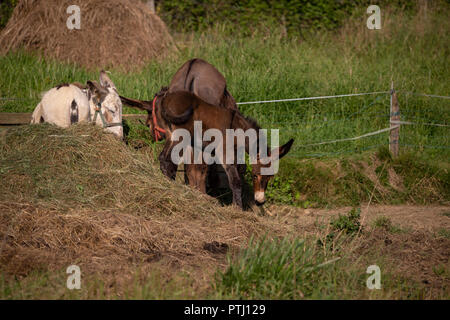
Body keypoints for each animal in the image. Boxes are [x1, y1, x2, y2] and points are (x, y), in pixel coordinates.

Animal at [159, 91, 296, 209]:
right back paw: (169, 185)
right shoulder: (224, 152)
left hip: (171, 134)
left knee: (162, 157)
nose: (260, 202)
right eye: (255, 175)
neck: (238, 130)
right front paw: (238, 208)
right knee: (167, 159)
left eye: (270, 177)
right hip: (180, 136)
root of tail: (167, 98)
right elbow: (235, 180)